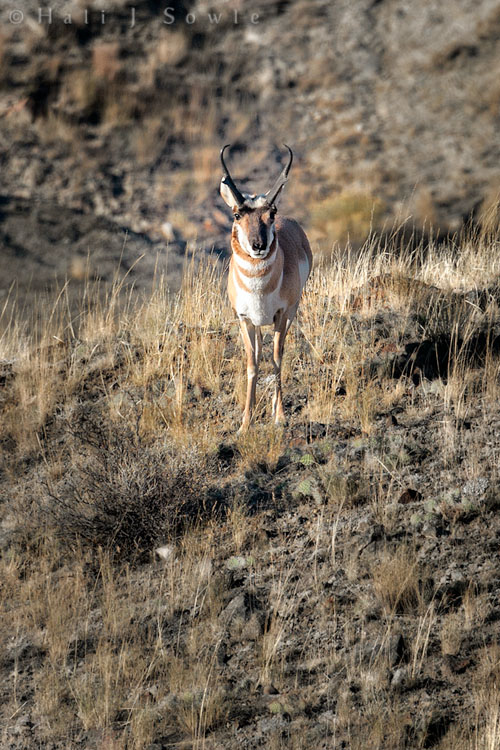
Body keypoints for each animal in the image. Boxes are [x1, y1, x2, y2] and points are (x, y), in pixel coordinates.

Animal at [219, 144, 312, 431]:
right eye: (237, 214)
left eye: (271, 213)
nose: (258, 245)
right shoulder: (245, 320)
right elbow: (253, 364)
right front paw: (244, 424)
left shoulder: (281, 316)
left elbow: (277, 359)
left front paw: (280, 416)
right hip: (258, 325)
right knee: (260, 354)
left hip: (291, 313)